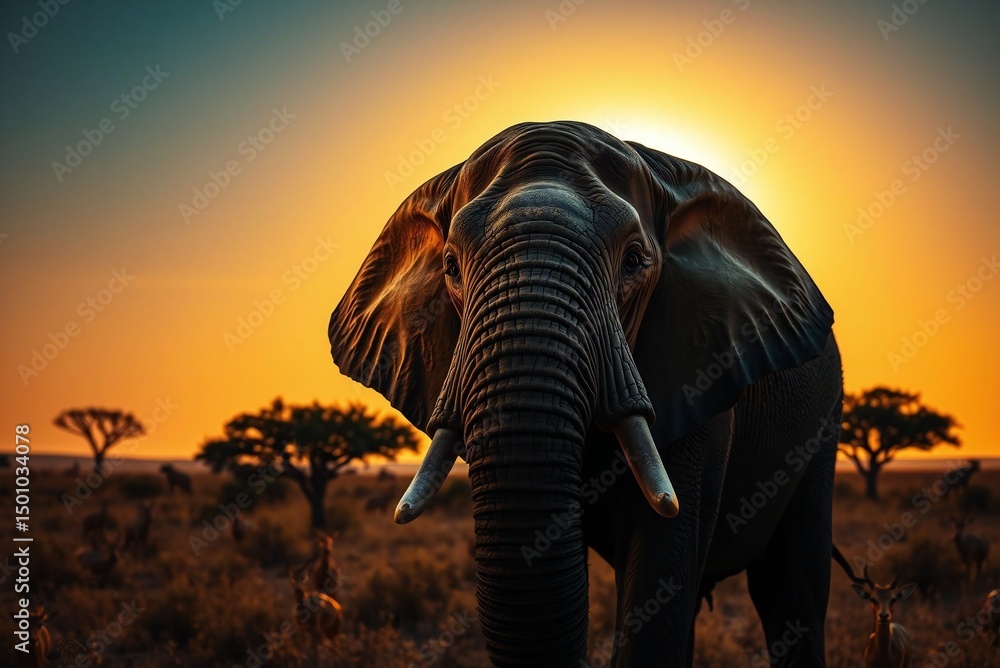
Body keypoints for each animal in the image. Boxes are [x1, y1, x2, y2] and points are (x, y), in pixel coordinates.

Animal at [328, 121, 843, 667]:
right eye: (450, 266)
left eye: (634, 261)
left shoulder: (697, 367)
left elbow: (660, 567)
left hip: (823, 426)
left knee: (791, 589)